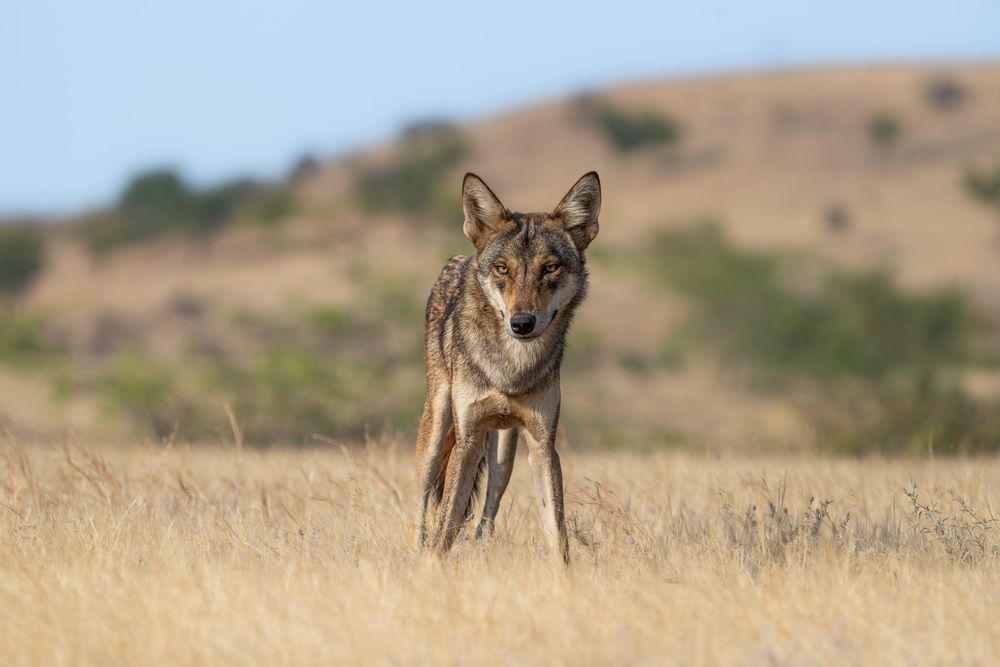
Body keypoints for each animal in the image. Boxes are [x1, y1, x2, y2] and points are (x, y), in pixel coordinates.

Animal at [412, 171, 601, 563]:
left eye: (550, 268)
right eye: (502, 269)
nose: (522, 323)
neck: (511, 369)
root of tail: (459, 258)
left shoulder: (543, 444)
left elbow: (557, 533)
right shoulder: (467, 439)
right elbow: (444, 526)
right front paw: (430, 568)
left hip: (504, 453)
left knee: (487, 512)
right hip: (436, 428)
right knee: (422, 506)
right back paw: (414, 550)